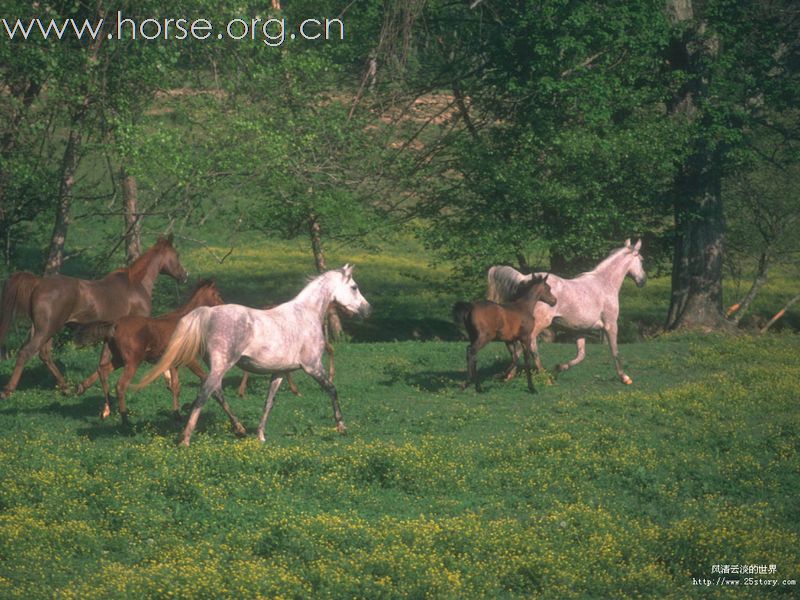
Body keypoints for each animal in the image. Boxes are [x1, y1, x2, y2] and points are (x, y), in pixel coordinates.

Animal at [0, 234, 188, 398]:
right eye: (177, 255)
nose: (185, 276)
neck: (136, 284)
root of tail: (38, 283)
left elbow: (102, 362)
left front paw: (82, 386)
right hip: (47, 329)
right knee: (26, 352)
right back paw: (8, 390)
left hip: (47, 329)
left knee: (44, 354)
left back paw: (65, 387)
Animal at [137, 264, 372, 446]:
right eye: (354, 287)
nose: (368, 310)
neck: (306, 314)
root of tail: (209, 312)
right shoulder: (313, 366)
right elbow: (332, 390)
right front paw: (342, 427)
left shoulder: (279, 373)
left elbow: (269, 402)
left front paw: (260, 435)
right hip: (221, 365)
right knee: (204, 394)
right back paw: (185, 439)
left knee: (216, 392)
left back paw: (239, 429)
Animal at [484, 239, 648, 384]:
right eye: (641, 259)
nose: (643, 281)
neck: (604, 284)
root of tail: (523, 278)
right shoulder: (611, 325)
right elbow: (615, 351)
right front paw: (624, 377)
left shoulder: (580, 330)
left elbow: (581, 355)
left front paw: (559, 368)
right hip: (539, 324)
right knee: (527, 346)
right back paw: (541, 377)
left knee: (517, 347)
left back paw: (511, 375)